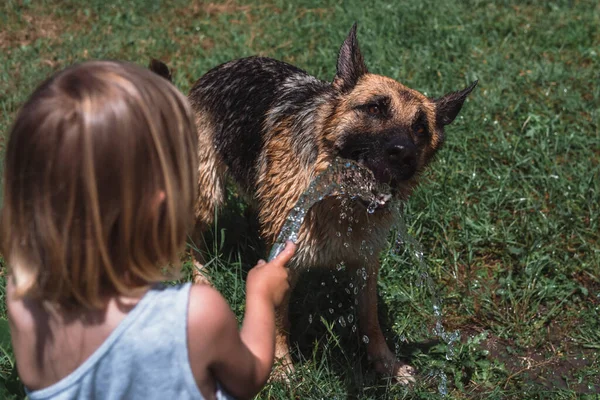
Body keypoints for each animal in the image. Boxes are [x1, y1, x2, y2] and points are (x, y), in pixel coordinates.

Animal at [151, 22, 478, 384]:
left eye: (420, 128)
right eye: (374, 109)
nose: (403, 153)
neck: (339, 196)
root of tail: (208, 76)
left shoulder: (365, 261)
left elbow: (370, 319)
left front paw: (387, 364)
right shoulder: (286, 257)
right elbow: (279, 317)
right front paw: (280, 366)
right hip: (208, 194)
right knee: (193, 241)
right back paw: (203, 279)